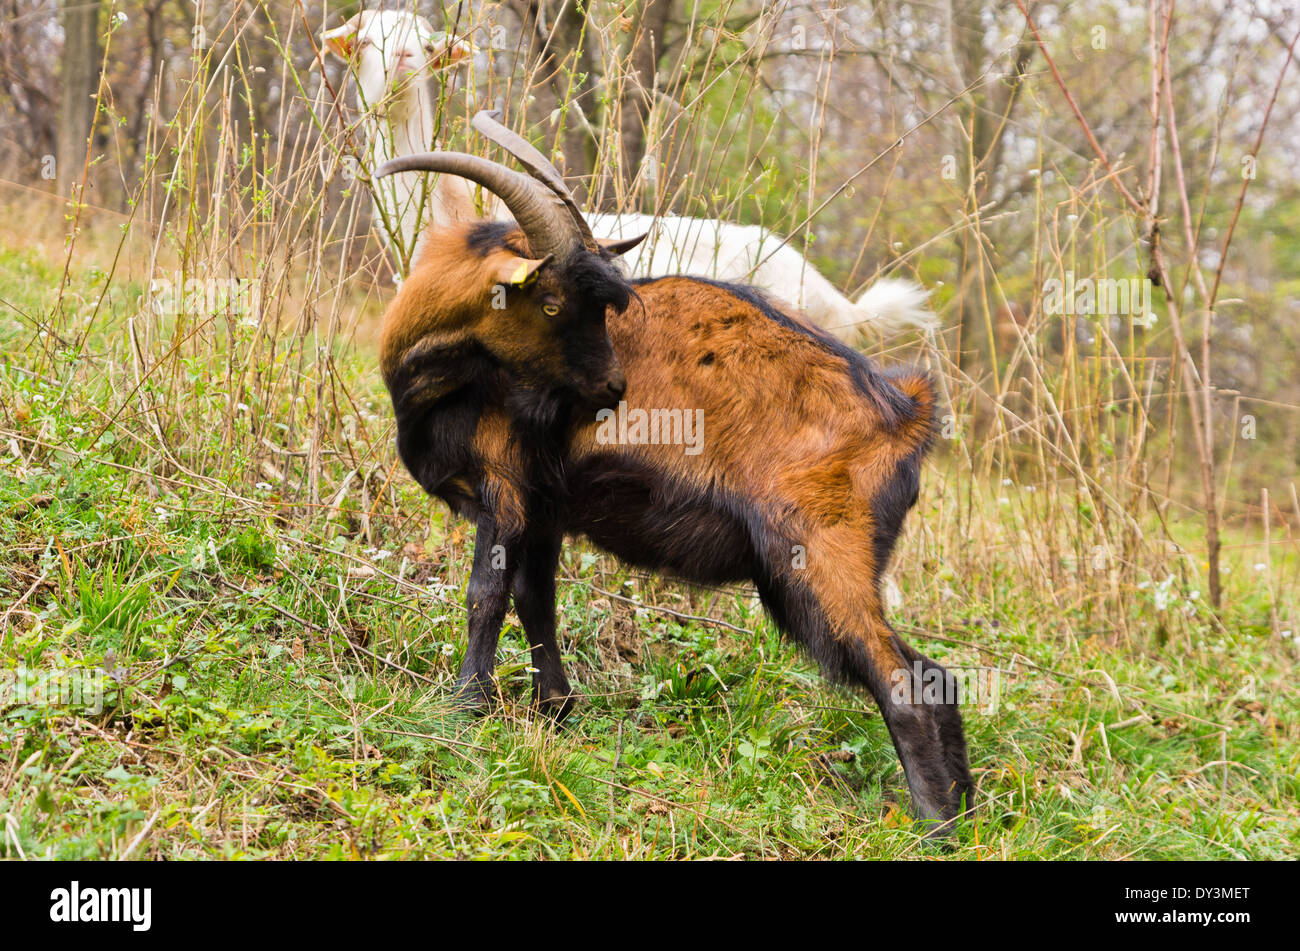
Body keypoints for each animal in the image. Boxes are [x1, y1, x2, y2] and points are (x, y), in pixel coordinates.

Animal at [371, 114, 972, 836]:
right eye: (553, 302)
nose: (613, 387)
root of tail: (905, 412)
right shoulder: (545, 511)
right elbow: (535, 601)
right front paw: (554, 713)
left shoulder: (506, 491)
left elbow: (485, 595)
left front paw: (464, 708)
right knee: (939, 677)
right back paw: (968, 819)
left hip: (819, 562)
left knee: (904, 682)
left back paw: (932, 827)